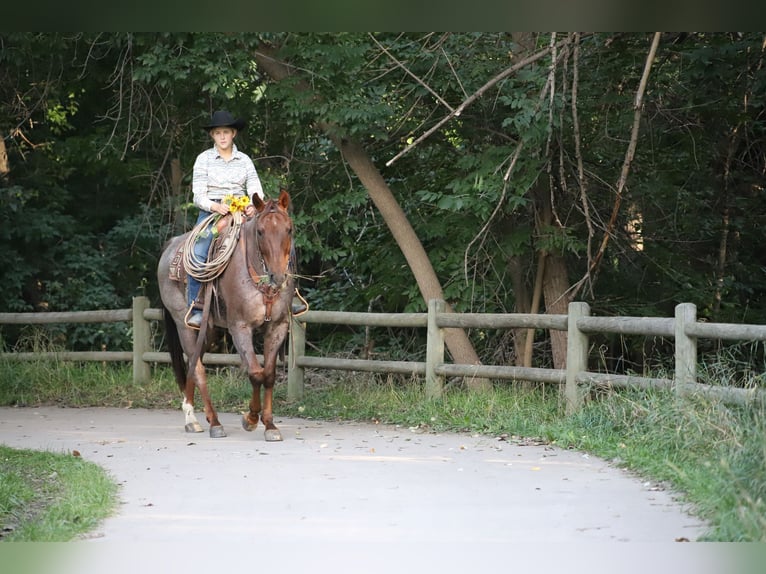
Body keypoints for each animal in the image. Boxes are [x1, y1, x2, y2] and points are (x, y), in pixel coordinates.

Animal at [158, 191, 296, 444]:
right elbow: (255, 373)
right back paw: (213, 423)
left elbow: (269, 375)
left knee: (192, 363)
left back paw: (192, 418)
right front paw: (250, 419)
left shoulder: (277, 327)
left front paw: (270, 425)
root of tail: (171, 245)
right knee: (199, 369)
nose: (278, 276)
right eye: (260, 231)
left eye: (288, 229)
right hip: (184, 325)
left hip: (209, 331)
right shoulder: (240, 328)